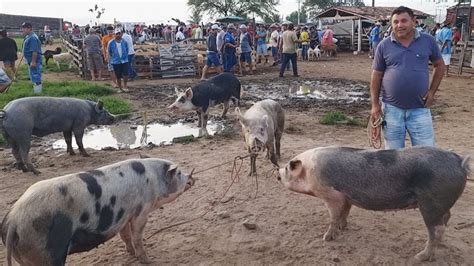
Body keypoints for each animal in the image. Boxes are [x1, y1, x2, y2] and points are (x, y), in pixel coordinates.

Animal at [0, 157, 194, 264]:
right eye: (179, 174)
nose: (192, 179)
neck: (154, 179)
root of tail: (13, 221)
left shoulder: (124, 214)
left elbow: (125, 235)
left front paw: (130, 253)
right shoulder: (142, 210)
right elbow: (137, 235)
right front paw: (148, 260)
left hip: (26, 256)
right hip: (45, 252)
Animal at [278, 145, 470, 262]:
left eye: (288, 168)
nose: (277, 173)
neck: (310, 171)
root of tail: (459, 161)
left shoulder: (332, 195)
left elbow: (333, 216)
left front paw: (326, 238)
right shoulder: (346, 197)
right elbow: (345, 213)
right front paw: (343, 227)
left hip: (431, 203)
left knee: (437, 229)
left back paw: (419, 257)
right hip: (440, 204)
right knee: (446, 218)